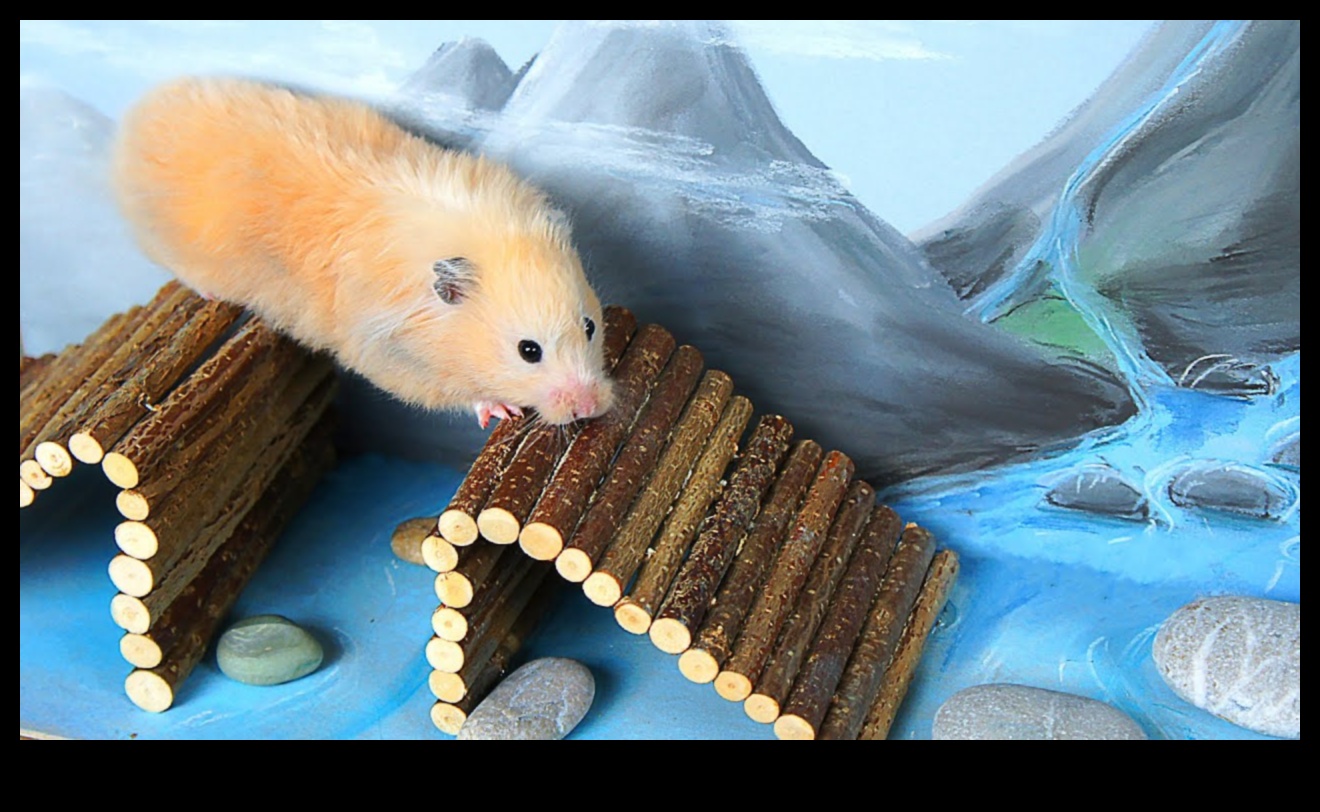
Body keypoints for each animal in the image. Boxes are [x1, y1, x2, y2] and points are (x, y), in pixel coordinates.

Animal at [111, 76, 613, 428]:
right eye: (529, 351)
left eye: (590, 326)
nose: (590, 406)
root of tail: (135, 123)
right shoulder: (386, 353)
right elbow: (449, 390)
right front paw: (500, 409)